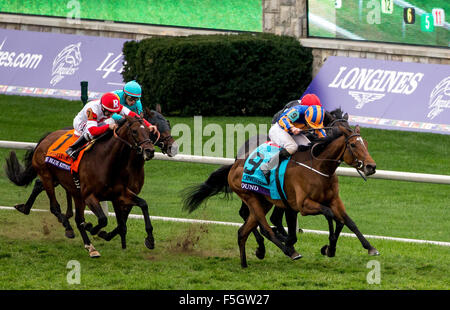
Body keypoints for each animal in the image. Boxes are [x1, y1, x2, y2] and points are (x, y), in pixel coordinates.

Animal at [4, 115, 156, 256]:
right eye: (135, 131)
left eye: (149, 132)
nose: (150, 151)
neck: (108, 162)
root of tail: (47, 138)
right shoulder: (89, 196)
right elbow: (102, 219)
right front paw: (92, 228)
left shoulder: (119, 193)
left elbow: (142, 204)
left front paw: (149, 240)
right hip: (48, 177)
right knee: (55, 207)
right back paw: (70, 228)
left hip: (64, 183)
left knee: (42, 188)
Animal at [181, 122, 378, 268]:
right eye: (353, 145)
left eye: (366, 144)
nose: (371, 166)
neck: (318, 167)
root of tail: (236, 164)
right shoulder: (303, 205)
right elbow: (330, 215)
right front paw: (329, 247)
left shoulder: (334, 200)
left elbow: (348, 222)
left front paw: (369, 247)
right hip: (251, 198)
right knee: (264, 228)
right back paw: (289, 251)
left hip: (264, 201)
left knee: (244, 230)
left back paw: (245, 263)